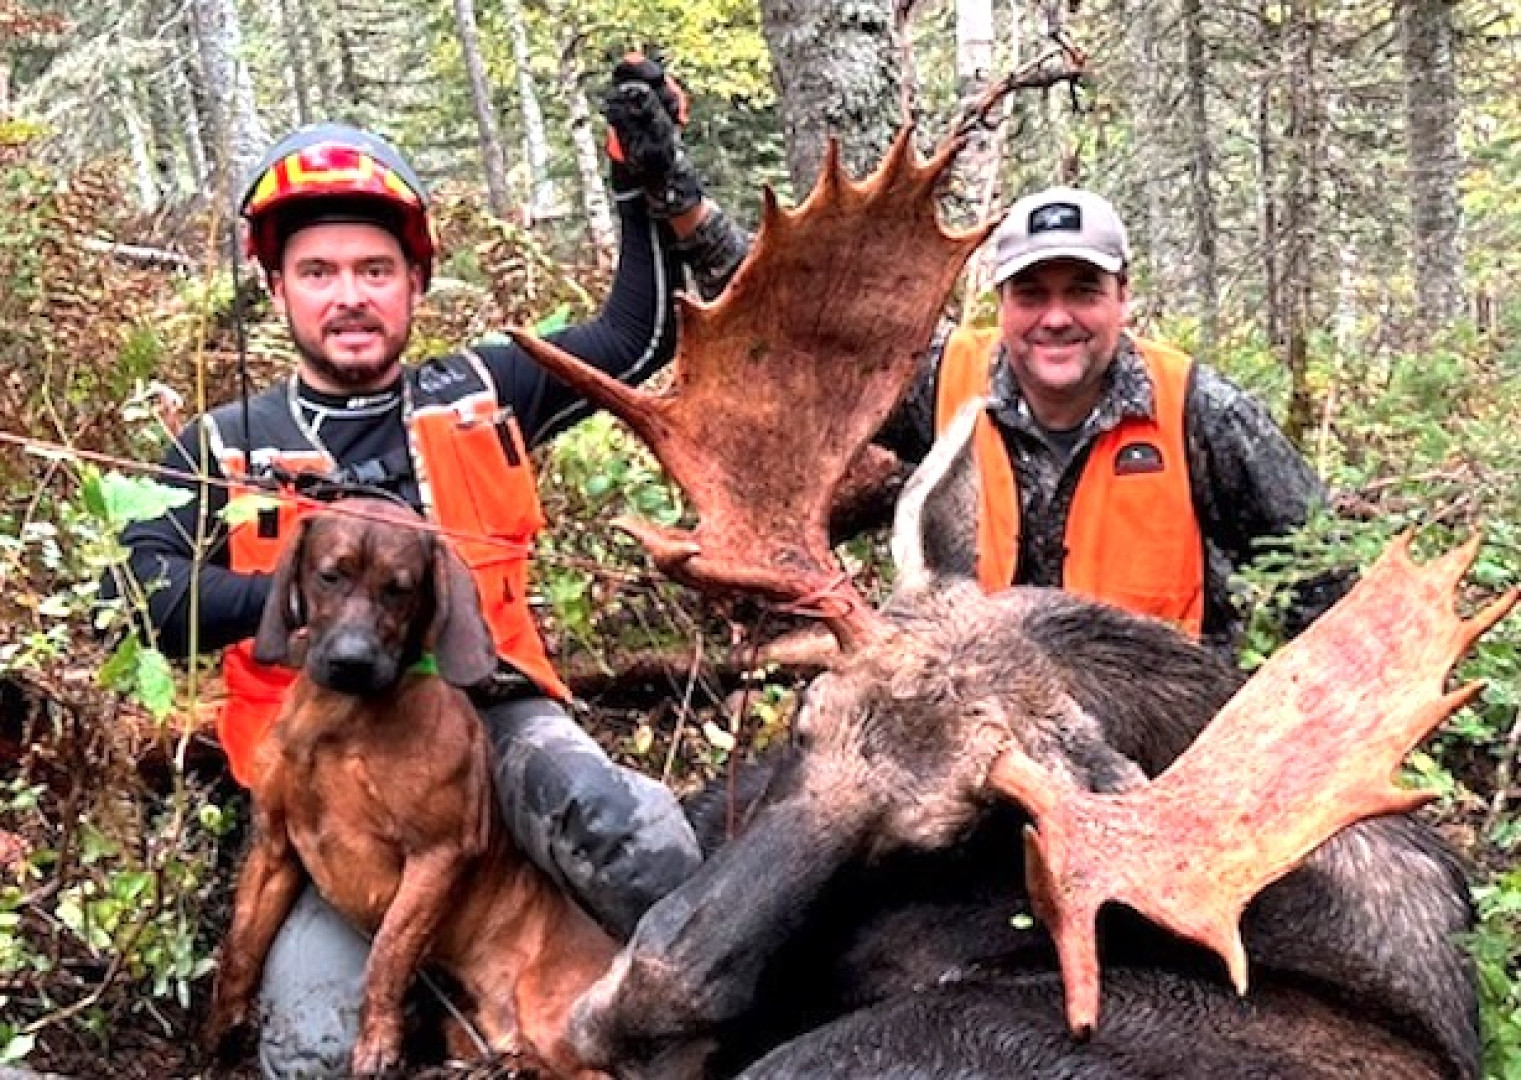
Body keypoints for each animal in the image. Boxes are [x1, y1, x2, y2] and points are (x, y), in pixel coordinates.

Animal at [203, 501, 617, 1080]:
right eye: (330, 575)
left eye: (399, 588)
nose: (351, 661)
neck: (340, 719)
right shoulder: (274, 845)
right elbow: (241, 947)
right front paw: (220, 1025)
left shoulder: (438, 853)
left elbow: (388, 954)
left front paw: (378, 1041)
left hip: (557, 1022)